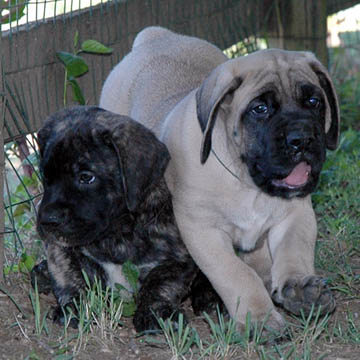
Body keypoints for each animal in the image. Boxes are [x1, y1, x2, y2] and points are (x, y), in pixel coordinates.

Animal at [33, 106, 212, 332]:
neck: (117, 233)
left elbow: (161, 283)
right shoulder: (59, 246)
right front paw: (74, 306)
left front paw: (155, 313)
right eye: (45, 176)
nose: (48, 220)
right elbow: (67, 273)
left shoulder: (179, 259)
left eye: (86, 177)